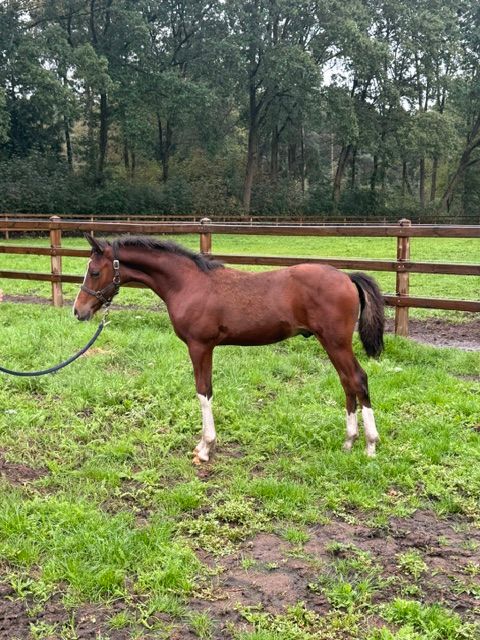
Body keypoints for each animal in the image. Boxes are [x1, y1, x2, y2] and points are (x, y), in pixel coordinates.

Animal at [74, 234, 384, 463]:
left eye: (94, 271)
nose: (79, 311)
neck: (188, 284)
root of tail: (346, 277)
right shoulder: (206, 347)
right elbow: (207, 391)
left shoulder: (199, 346)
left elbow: (203, 391)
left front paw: (205, 448)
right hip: (332, 344)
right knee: (347, 382)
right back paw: (349, 441)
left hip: (335, 342)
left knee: (357, 379)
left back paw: (370, 445)